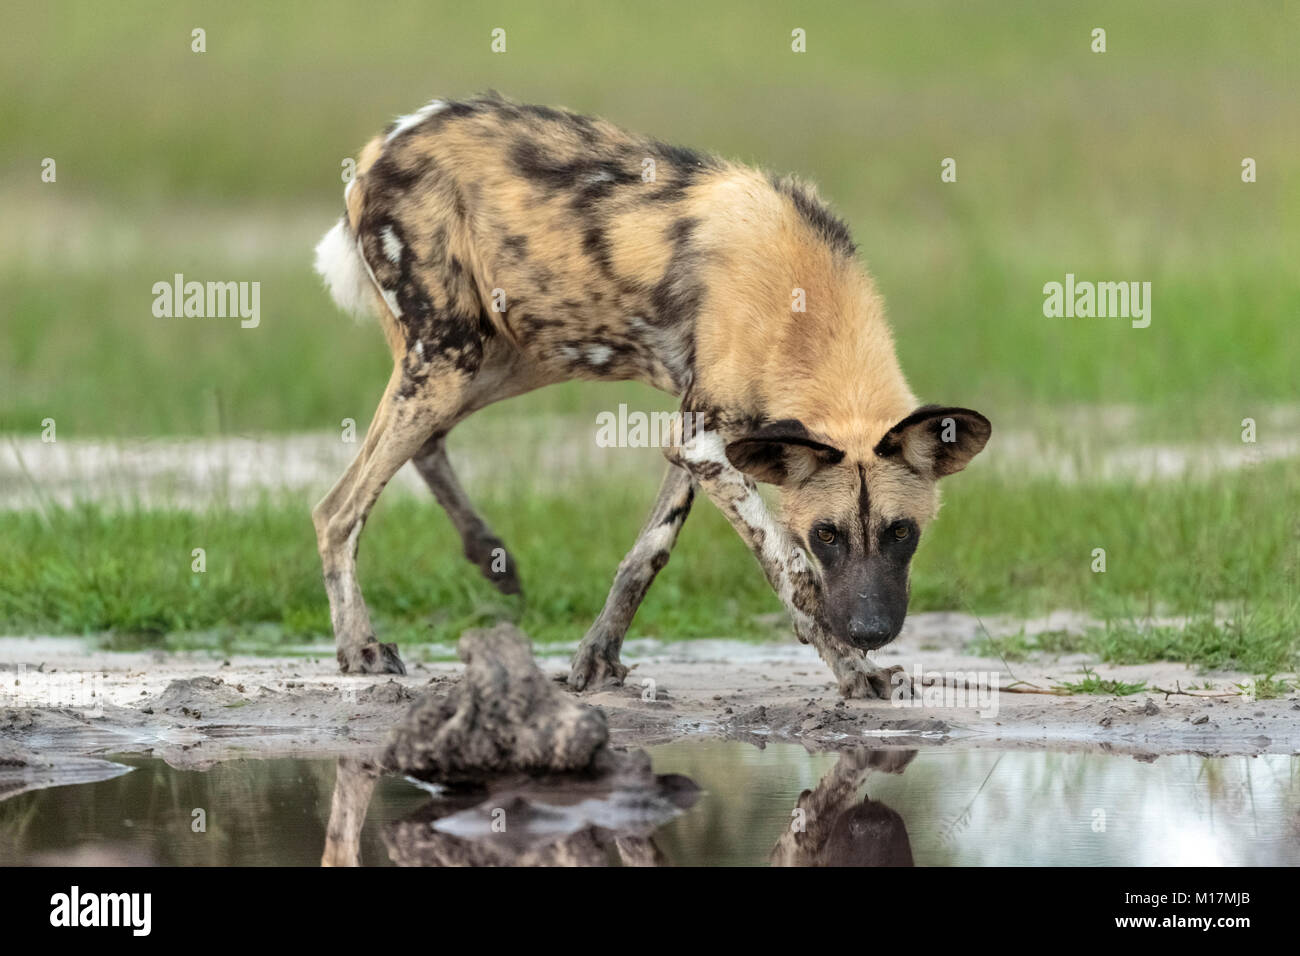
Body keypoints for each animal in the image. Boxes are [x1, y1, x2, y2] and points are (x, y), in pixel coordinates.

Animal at [312, 93, 982, 697]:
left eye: (902, 532)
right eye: (827, 535)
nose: (870, 630)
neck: (804, 307)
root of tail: (387, 140)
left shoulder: (698, 441)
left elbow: (646, 555)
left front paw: (596, 660)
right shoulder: (705, 443)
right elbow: (791, 570)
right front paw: (852, 670)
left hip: (500, 358)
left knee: (422, 447)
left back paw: (487, 552)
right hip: (452, 357)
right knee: (338, 511)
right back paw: (359, 648)